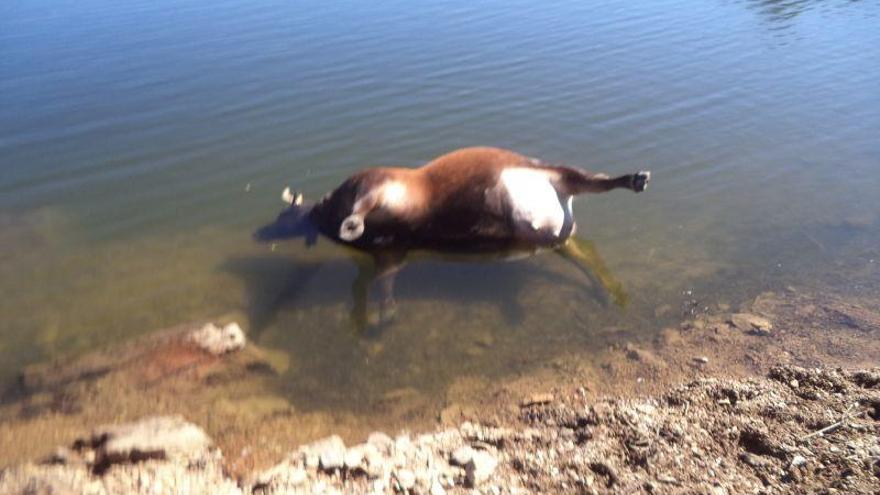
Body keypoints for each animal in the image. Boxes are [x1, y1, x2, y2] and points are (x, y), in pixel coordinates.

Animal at [251, 147, 648, 332]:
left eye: (282, 215)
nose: (259, 233)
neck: (326, 213)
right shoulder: (393, 251)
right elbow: (384, 283)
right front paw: (385, 313)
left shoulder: (374, 184)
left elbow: (364, 208)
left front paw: (353, 224)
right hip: (551, 234)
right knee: (581, 250)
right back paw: (606, 290)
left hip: (552, 173)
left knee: (592, 179)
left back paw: (633, 179)